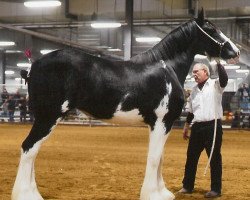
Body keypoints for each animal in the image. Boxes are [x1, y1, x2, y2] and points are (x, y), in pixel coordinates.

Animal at [12, 9, 239, 200]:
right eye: (211, 29)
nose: (235, 52)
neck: (167, 68)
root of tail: (34, 66)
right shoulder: (161, 122)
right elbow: (154, 158)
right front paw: (152, 194)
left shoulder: (160, 124)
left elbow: (160, 158)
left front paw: (162, 192)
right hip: (48, 116)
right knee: (29, 148)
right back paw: (26, 195)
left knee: (32, 151)